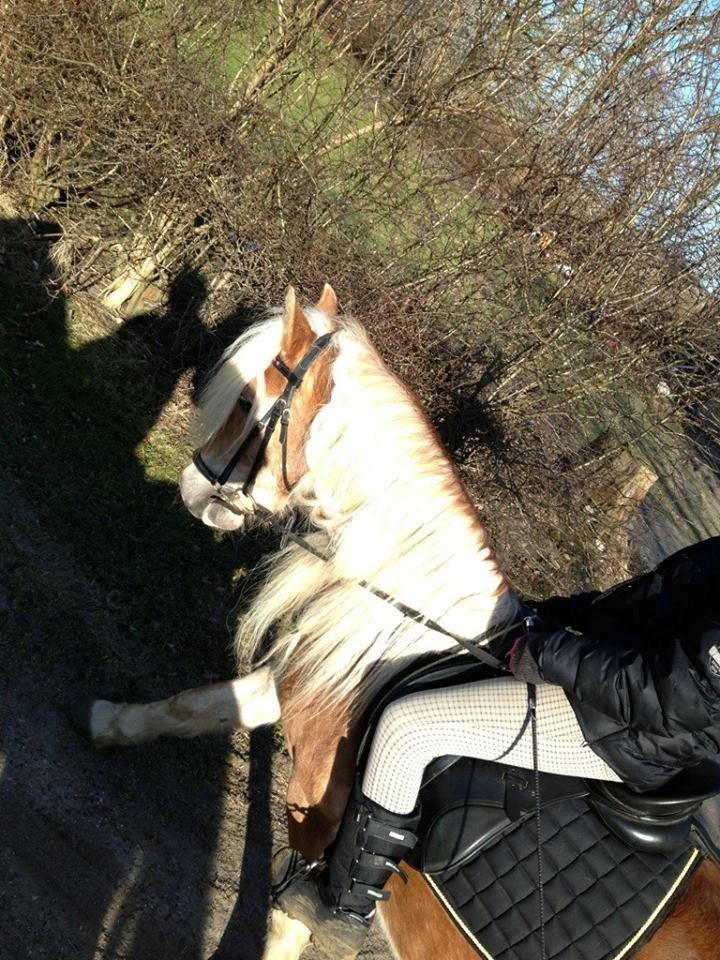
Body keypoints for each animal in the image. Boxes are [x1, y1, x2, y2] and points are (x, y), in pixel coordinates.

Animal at [86, 284, 720, 960]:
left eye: (248, 401)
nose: (191, 485)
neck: (412, 624)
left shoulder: (318, 809)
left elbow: (291, 921)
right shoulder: (303, 690)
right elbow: (192, 706)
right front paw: (107, 722)